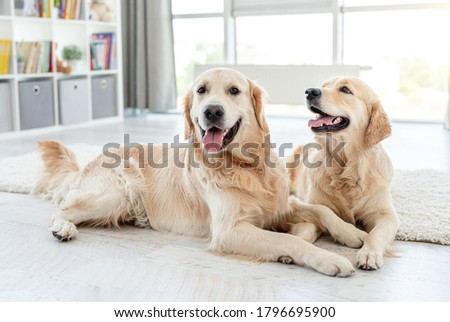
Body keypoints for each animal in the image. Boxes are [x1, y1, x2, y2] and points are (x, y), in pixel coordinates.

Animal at [33, 67, 368, 276]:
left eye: (234, 90)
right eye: (201, 91)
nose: (212, 111)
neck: (246, 167)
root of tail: (88, 163)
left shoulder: (280, 206)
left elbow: (321, 210)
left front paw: (353, 234)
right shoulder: (229, 231)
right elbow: (290, 241)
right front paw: (330, 259)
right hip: (117, 194)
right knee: (63, 209)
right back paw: (63, 228)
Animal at [286, 76, 400, 270]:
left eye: (346, 90)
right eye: (324, 86)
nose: (310, 91)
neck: (346, 167)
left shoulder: (386, 215)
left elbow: (376, 233)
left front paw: (369, 253)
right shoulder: (315, 206)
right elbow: (312, 223)